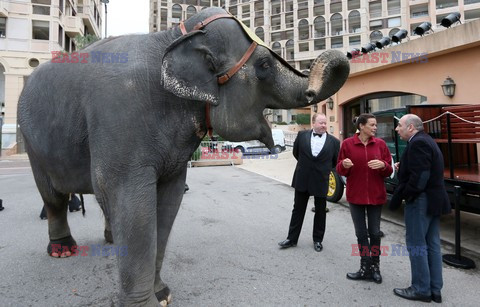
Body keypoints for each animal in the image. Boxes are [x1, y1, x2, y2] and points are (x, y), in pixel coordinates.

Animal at [17, 7, 348, 307]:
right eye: (264, 65)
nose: (311, 97)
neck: (172, 37)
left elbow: (168, 200)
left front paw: (163, 295)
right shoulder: (120, 117)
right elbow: (130, 201)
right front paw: (147, 304)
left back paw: (111, 240)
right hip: (32, 144)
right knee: (53, 197)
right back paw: (62, 250)